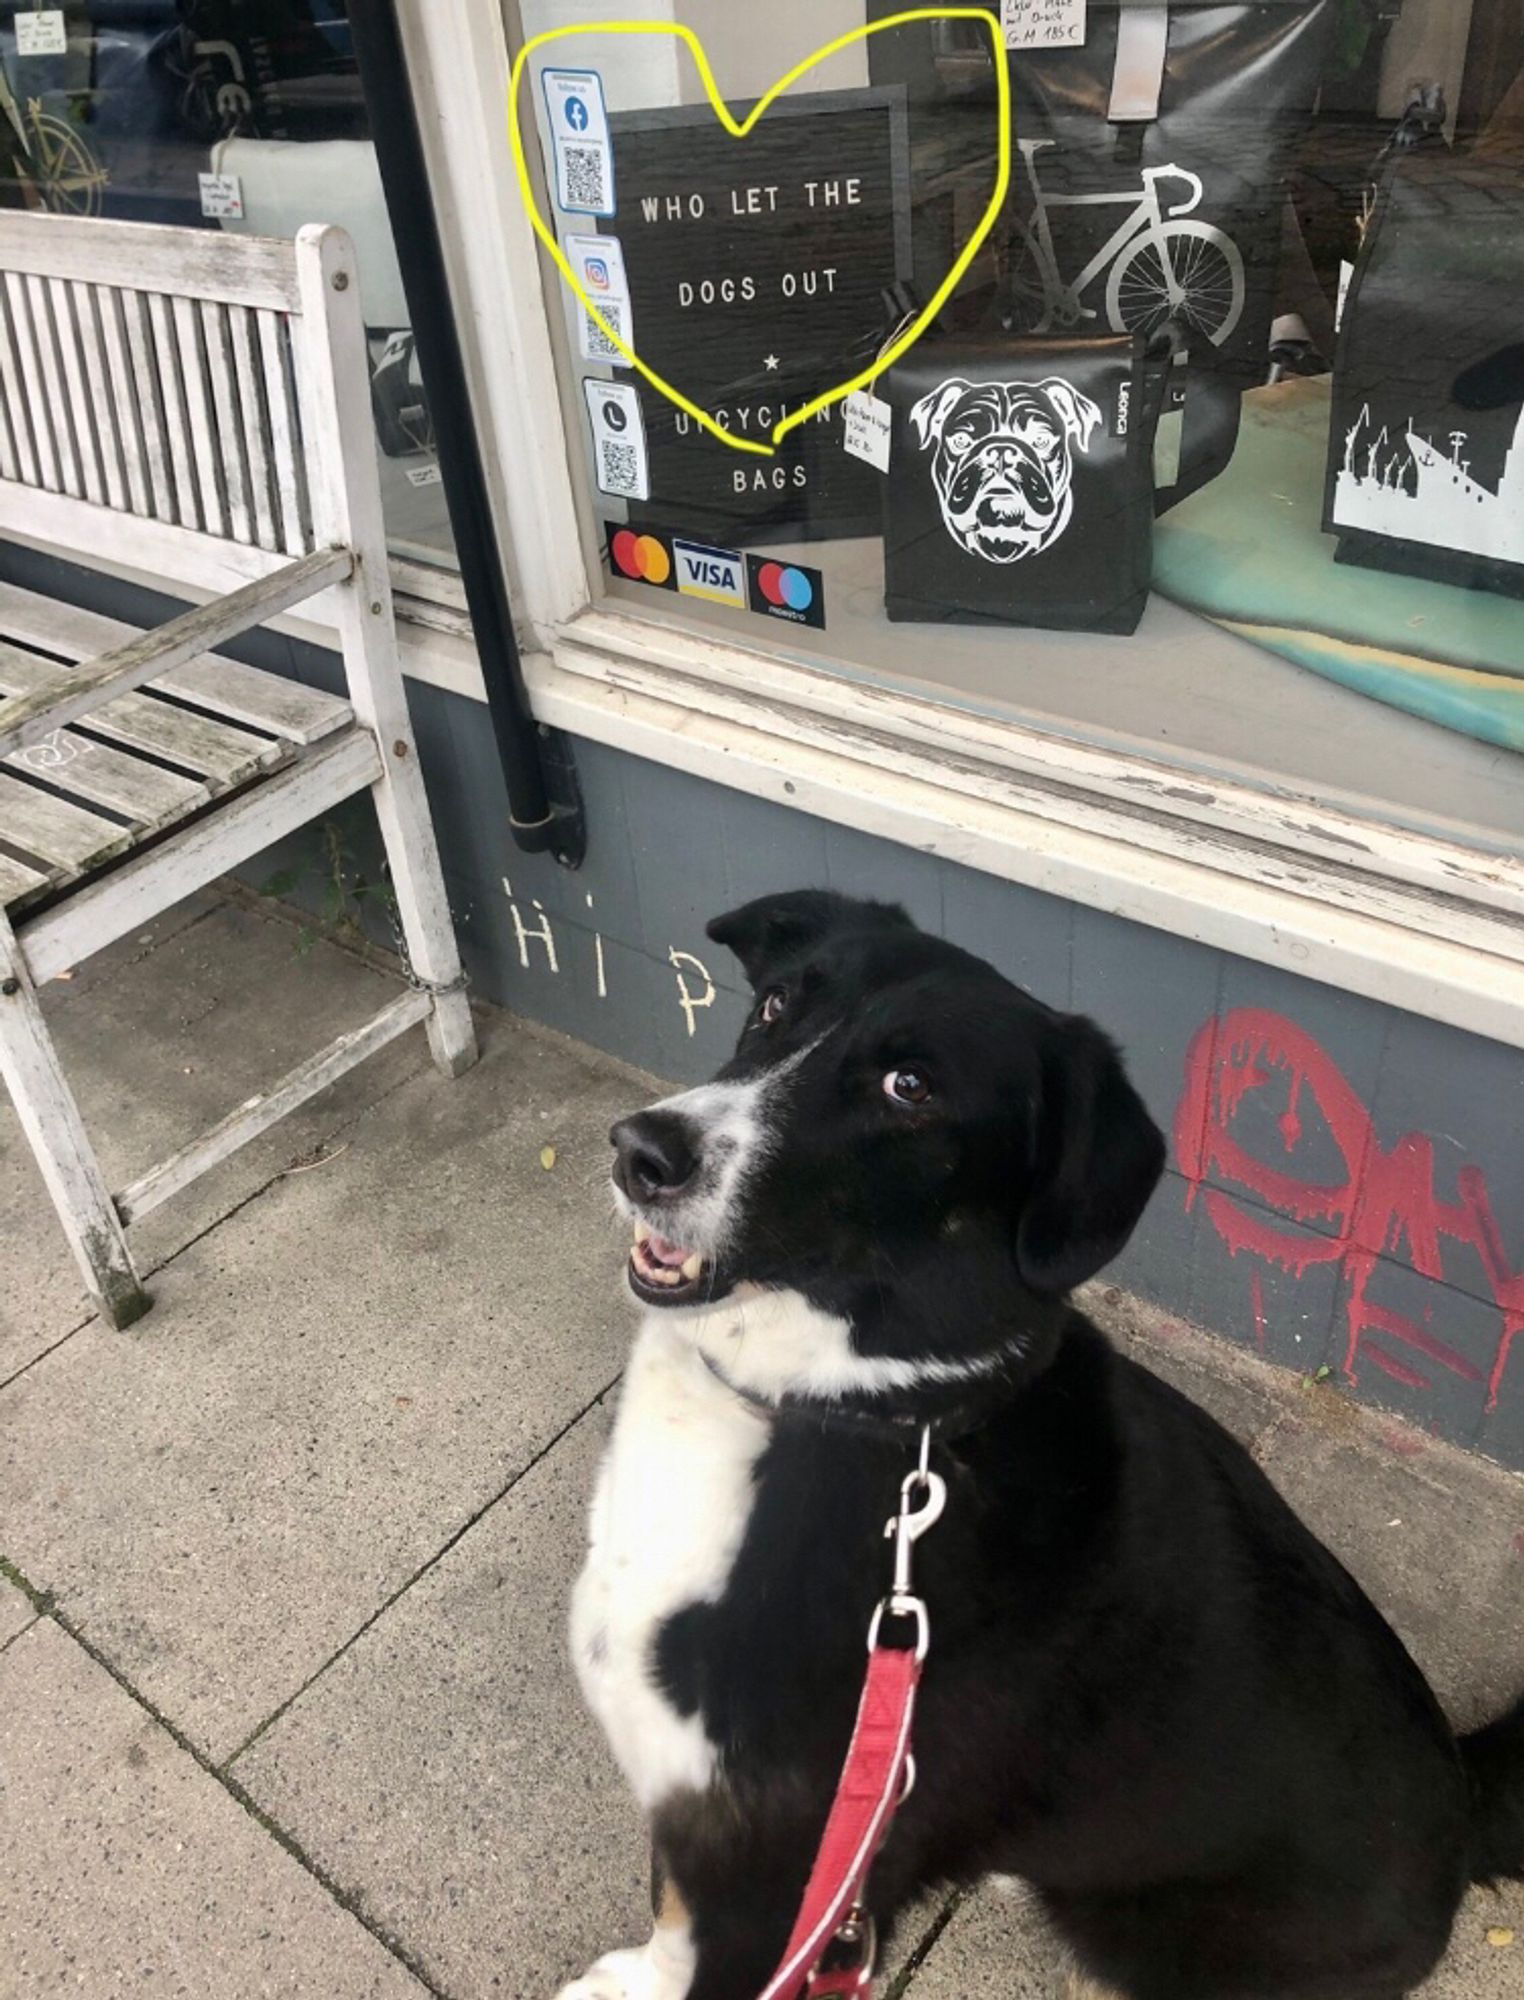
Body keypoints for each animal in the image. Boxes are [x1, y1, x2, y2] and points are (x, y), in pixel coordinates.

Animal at [556, 896, 1520, 2000]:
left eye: (911, 1085)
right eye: (773, 1005)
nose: (642, 1150)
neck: (871, 1408)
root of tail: (1463, 1805)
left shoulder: (784, 1876)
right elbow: (671, 1908)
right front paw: (636, 1975)